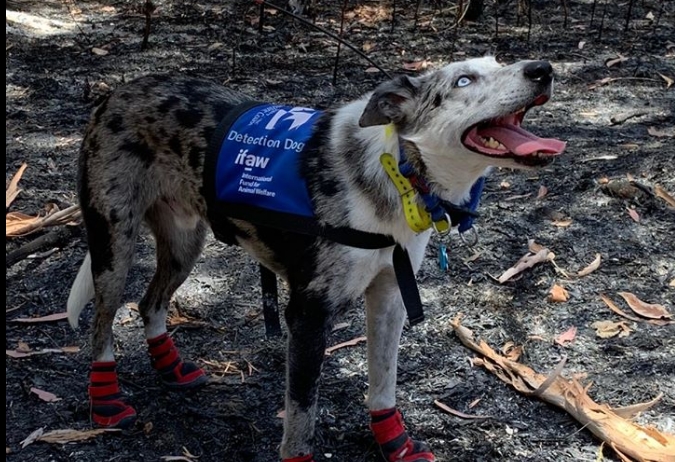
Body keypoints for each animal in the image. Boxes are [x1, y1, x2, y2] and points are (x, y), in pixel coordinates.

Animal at [67, 57, 564, 462]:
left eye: (499, 62)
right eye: (464, 80)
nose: (543, 69)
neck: (397, 171)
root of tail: (117, 92)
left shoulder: (390, 298)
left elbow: (383, 387)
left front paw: (396, 445)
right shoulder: (308, 315)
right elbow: (302, 416)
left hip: (185, 244)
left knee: (148, 303)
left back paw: (169, 367)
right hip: (114, 246)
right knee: (103, 322)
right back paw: (106, 401)